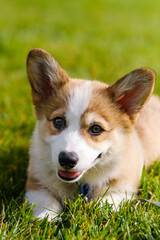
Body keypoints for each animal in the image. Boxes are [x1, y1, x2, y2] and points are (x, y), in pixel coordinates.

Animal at [24, 47, 160, 220]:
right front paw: (46, 218)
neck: (81, 181)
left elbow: (105, 203)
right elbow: (46, 203)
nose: (67, 159)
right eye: (58, 121)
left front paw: (95, 210)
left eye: (96, 129)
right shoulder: (36, 183)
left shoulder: (125, 188)